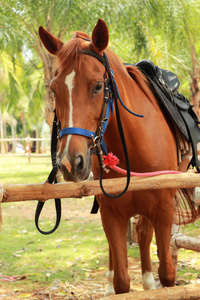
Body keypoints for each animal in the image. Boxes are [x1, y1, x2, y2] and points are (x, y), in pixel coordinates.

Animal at [38, 19, 192, 296]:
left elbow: (167, 274)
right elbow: (121, 280)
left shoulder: (163, 209)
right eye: (53, 89)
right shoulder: (111, 213)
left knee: (142, 233)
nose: (70, 163)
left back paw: (148, 281)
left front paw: (154, 282)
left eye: (98, 86)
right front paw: (115, 284)